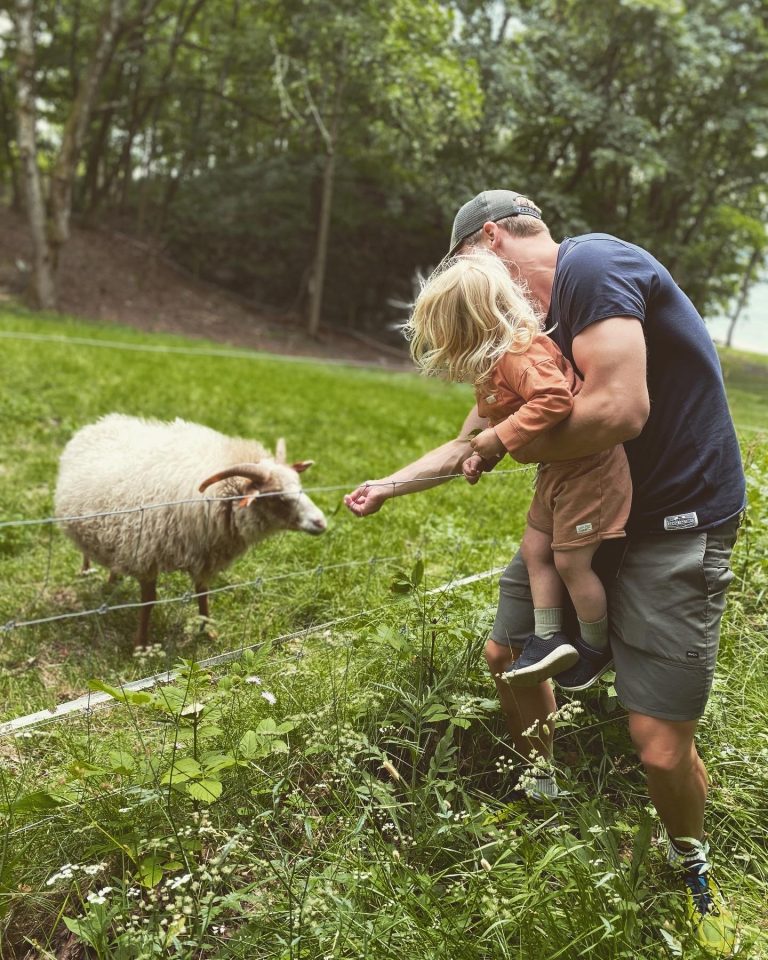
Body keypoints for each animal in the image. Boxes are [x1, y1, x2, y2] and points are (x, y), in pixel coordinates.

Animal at [54, 412, 328, 644]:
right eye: (278, 497)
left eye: (300, 486)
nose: (321, 522)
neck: (216, 498)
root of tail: (101, 422)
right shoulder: (146, 555)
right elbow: (147, 602)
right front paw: (140, 644)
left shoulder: (203, 554)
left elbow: (202, 594)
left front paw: (208, 630)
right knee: (86, 551)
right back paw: (87, 571)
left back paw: (112, 580)